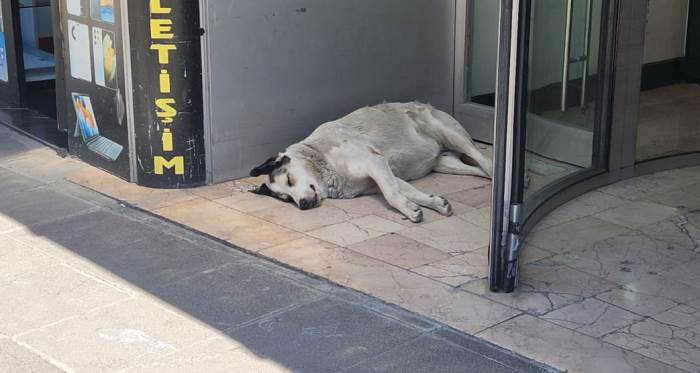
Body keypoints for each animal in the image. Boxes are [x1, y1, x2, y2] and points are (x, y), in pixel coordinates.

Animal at [250, 101, 492, 222]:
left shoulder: (374, 162)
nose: (303, 205)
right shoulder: (384, 176)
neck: (323, 159)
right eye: (286, 199)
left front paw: (409, 211)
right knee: (478, 169)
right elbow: (404, 191)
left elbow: (392, 195)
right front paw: (431, 203)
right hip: (447, 164)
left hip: (450, 134)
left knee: (485, 160)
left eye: (290, 180)